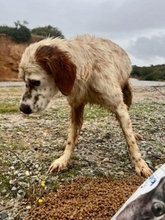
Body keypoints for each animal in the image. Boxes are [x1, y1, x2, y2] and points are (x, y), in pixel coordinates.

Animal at [18, 34, 152, 177]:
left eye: (35, 82)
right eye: (24, 81)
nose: (22, 108)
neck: (86, 71)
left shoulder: (119, 107)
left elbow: (131, 141)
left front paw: (140, 165)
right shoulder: (76, 107)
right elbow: (70, 140)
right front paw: (63, 160)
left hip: (128, 94)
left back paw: (135, 134)